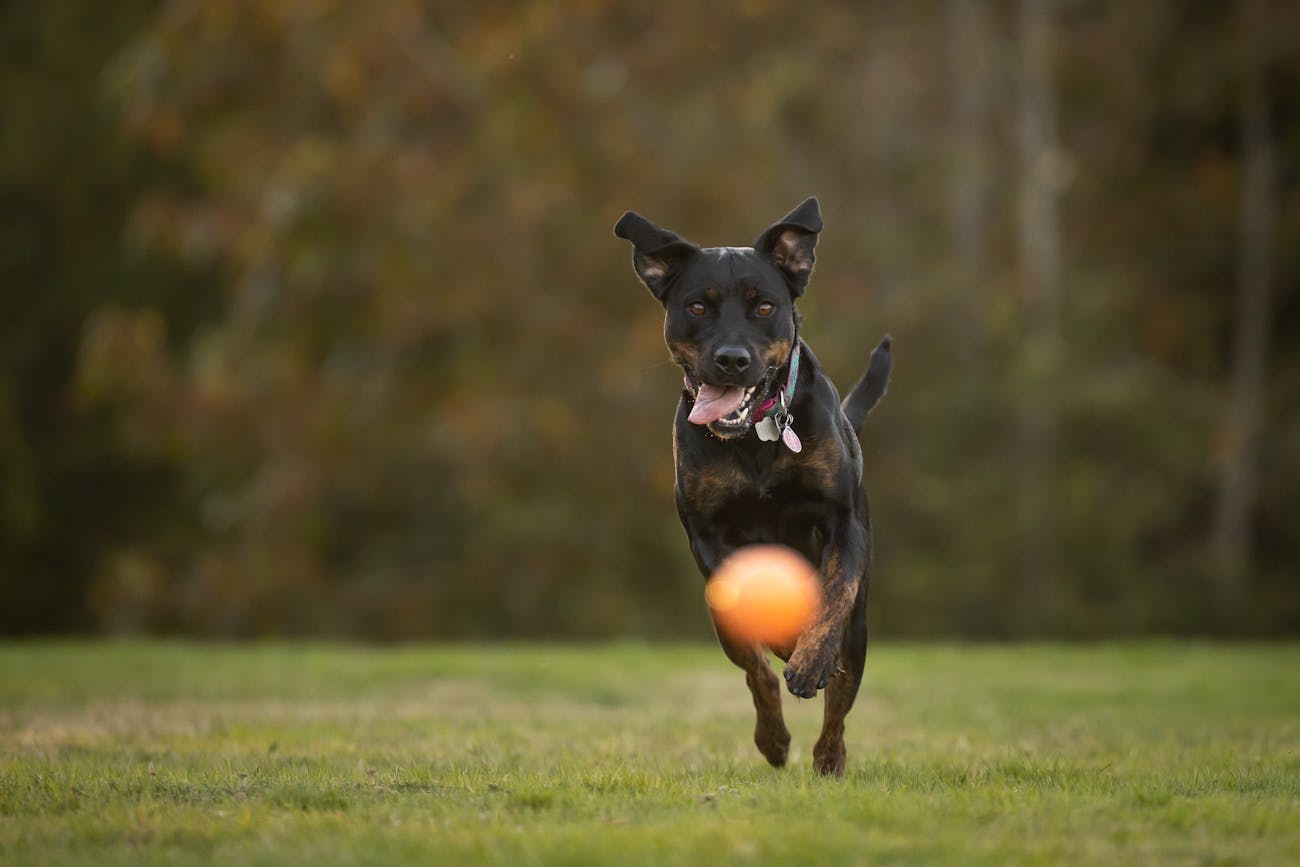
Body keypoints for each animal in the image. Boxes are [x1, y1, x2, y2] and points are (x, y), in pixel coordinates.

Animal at [613, 198, 889, 779]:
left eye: (764, 307)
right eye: (698, 306)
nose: (732, 359)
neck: (757, 435)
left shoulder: (844, 522)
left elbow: (833, 595)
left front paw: (810, 660)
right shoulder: (708, 536)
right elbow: (756, 652)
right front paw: (785, 666)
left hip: (860, 628)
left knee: (841, 697)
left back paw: (829, 755)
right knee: (752, 666)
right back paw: (776, 738)